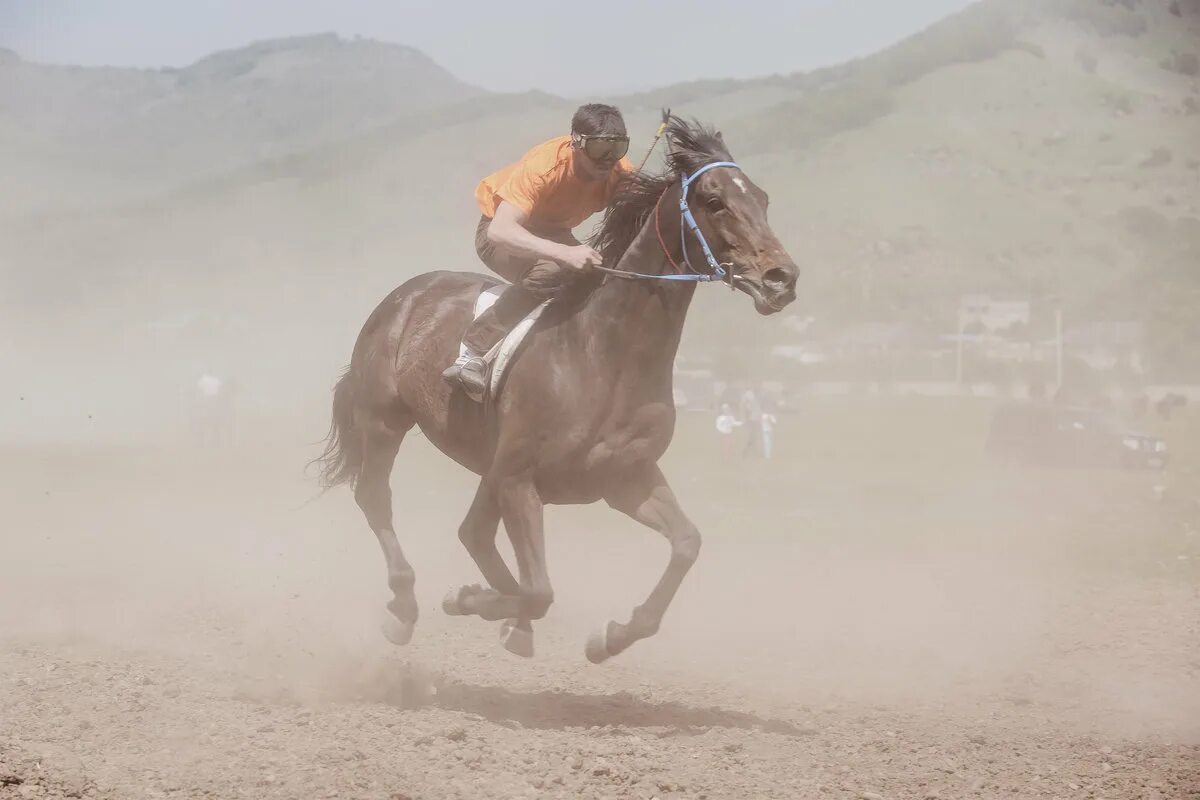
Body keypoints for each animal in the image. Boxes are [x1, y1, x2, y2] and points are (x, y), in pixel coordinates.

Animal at [316, 113, 796, 662]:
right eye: (715, 201)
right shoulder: (520, 479)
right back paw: (404, 605)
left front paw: (611, 636)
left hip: (489, 463)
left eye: (762, 198)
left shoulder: (624, 478)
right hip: (386, 419)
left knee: (473, 533)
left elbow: (686, 545)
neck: (604, 356)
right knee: (378, 499)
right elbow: (540, 590)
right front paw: (472, 601)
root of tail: (402, 297)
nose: (782, 278)